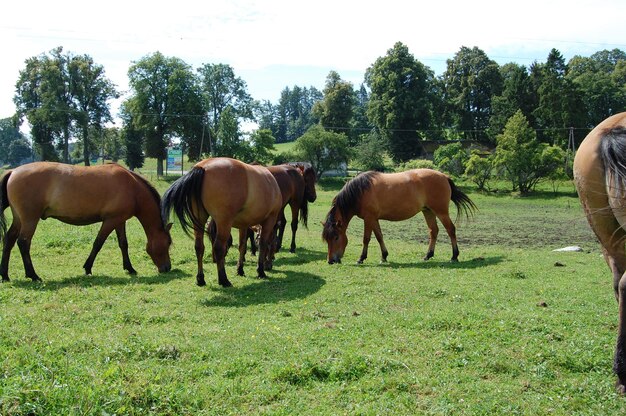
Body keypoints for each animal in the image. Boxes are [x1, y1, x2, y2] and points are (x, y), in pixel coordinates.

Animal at [0, 161, 172, 282]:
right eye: (168, 243)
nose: (167, 268)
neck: (132, 187)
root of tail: (13, 171)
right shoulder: (110, 220)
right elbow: (98, 243)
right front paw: (88, 268)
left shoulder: (120, 220)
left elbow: (123, 244)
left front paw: (130, 268)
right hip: (30, 219)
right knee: (23, 243)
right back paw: (33, 275)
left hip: (19, 219)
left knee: (9, 240)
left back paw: (5, 275)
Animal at [161, 158, 280, 288]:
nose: (270, 263)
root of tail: (202, 167)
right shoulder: (269, 220)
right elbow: (263, 244)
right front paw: (260, 271)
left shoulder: (244, 225)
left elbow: (242, 246)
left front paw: (240, 269)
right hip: (224, 223)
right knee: (218, 247)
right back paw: (224, 280)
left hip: (200, 219)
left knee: (199, 247)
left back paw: (200, 279)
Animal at [322, 168, 472, 264]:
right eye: (327, 239)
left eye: (336, 237)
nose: (330, 261)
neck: (360, 191)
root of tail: (444, 176)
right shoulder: (374, 219)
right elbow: (379, 236)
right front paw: (384, 256)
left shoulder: (369, 218)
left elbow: (366, 239)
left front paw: (361, 258)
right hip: (428, 211)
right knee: (433, 231)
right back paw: (428, 255)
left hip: (441, 212)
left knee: (451, 230)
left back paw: (454, 256)